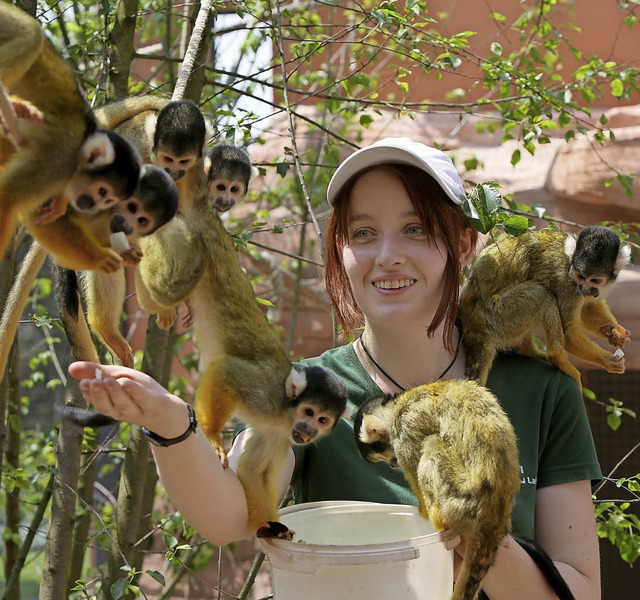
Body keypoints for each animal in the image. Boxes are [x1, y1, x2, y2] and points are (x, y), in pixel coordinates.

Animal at [0, 3, 145, 258]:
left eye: (108, 201)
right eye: (103, 192)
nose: (93, 205)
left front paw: (58, 203)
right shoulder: (59, 159)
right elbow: (6, 197)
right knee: (31, 34)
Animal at [352, 380, 524, 600]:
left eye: (387, 457)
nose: (392, 465)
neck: (396, 405)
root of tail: (492, 520)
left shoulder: (403, 428)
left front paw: (423, 509)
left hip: (460, 502)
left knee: (432, 444)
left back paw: (436, 516)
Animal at [458, 224, 632, 384]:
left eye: (594, 280)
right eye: (581, 277)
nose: (585, 289)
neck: (569, 264)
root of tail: (474, 328)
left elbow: (588, 307)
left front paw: (612, 332)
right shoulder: (567, 285)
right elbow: (569, 333)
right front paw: (608, 360)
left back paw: (528, 351)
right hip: (495, 317)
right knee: (542, 293)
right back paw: (556, 357)